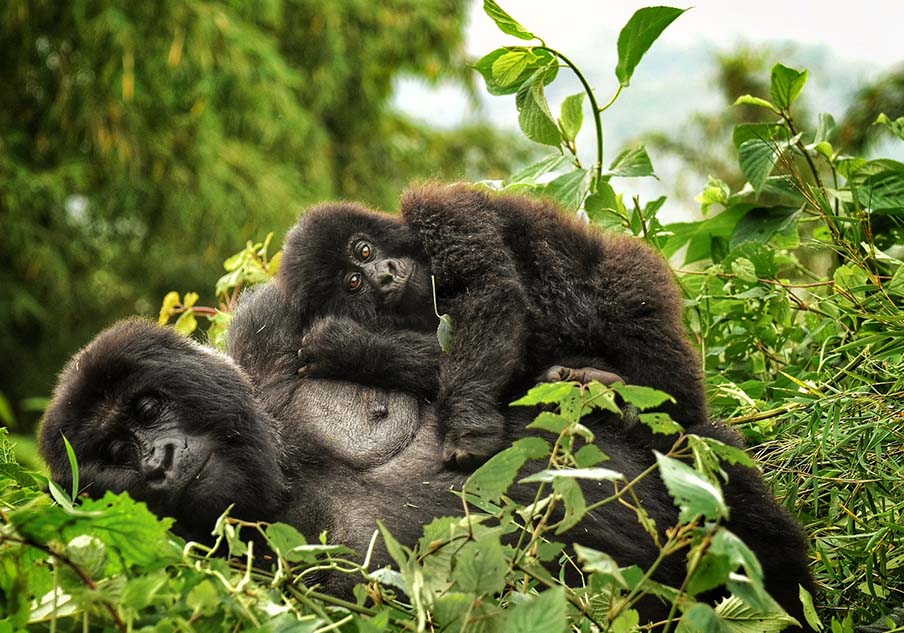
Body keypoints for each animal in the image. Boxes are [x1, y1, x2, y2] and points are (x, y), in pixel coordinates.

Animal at [278, 183, 708, 464]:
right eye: (353, 283)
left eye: (364, 249)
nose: (384, 276)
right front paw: (350, 349)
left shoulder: (442, 211)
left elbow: (490, 292)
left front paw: (468, 428)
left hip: (637, 275)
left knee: (628, 303)